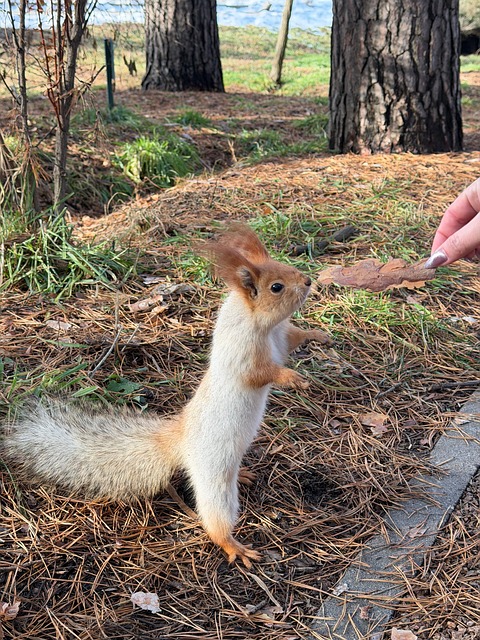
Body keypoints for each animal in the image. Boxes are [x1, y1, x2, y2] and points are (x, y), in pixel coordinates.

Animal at [2, 225, 332, 567]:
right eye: (276, 287)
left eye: (284, 266)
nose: (308, 281)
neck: (260, 324)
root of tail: (179, 443)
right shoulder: (242, 356)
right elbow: (259, 373)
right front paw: (294, 378)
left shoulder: (281, 338)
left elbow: (295, 337)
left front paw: (319, 336)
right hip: (214, 480)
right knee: (214, 520)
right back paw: (233, 546)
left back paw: (242, 475)